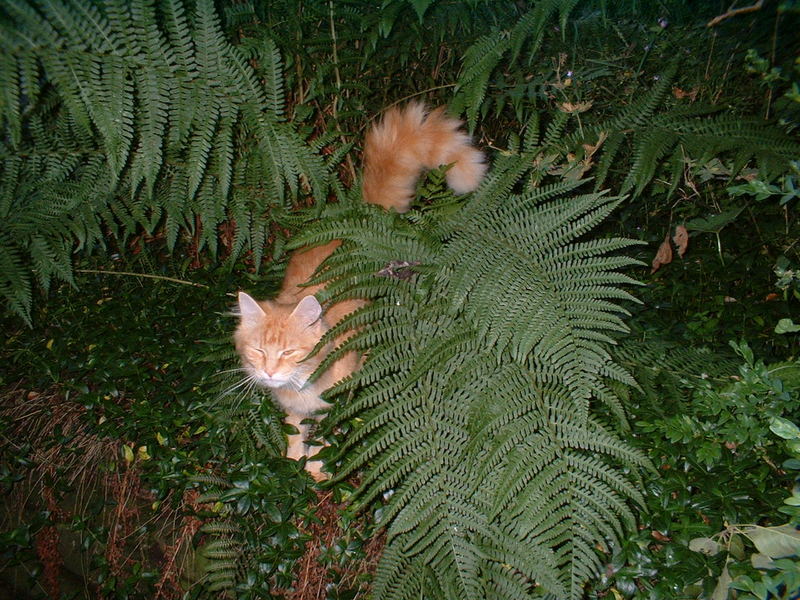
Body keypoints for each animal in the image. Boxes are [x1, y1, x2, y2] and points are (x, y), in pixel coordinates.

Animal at [233, 102, 488, 478]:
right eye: (259, 351)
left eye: (289, 352)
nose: (269, 372)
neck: (304, 383)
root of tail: (357, 218)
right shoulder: (296, 410)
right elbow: (295, 433)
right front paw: (294, 463)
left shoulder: (335, 403)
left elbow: (324, 439)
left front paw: (316, 471)